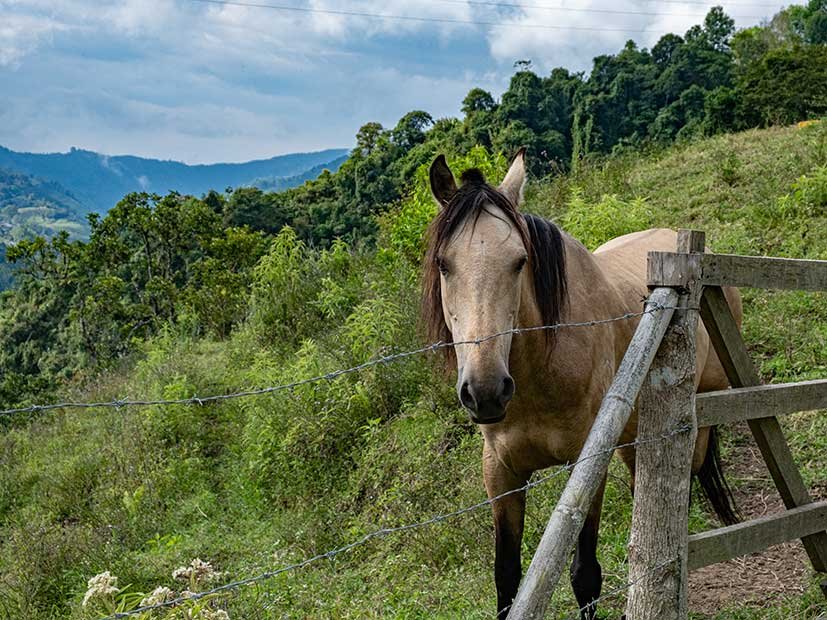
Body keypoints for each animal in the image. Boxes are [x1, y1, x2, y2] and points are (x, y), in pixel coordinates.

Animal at [420, 151, 744, 620]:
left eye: (520, 261)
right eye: (444, 264)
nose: (486, 390)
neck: (540, 374)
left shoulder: (588, 464)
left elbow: (585, 576)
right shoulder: (500, 473)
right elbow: (506, 582)